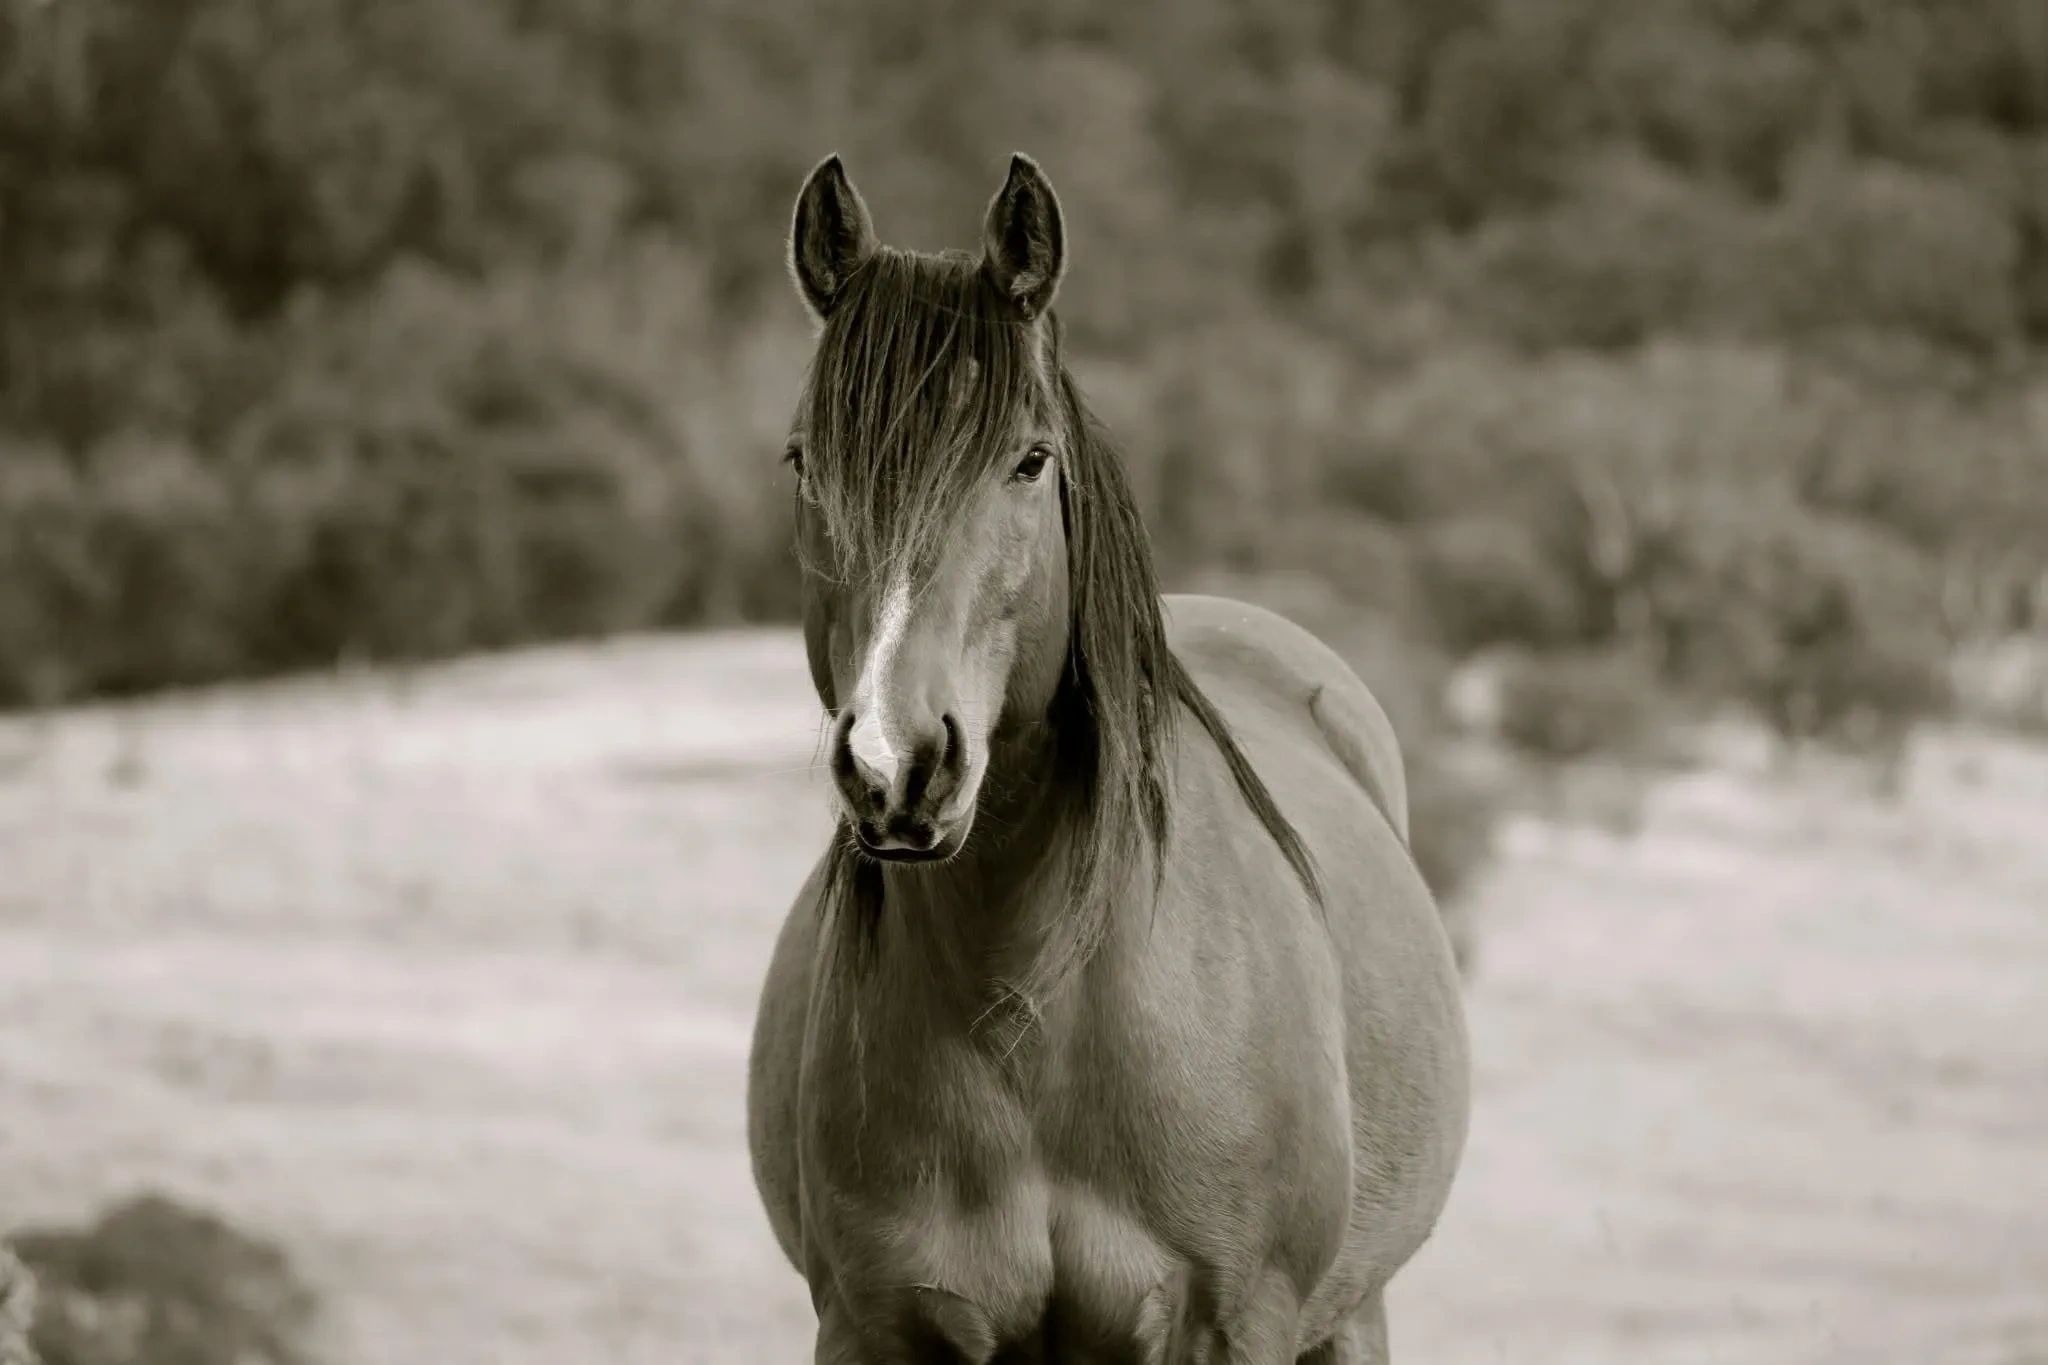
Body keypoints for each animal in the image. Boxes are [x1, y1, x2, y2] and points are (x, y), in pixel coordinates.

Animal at [747, 153, 1469, 1364]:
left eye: (1030, 460)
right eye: (806, 461)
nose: (897, 763)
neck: (1030, 1021)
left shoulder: (1228, 1326)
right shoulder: (874, 1326)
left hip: (1350, 1316)